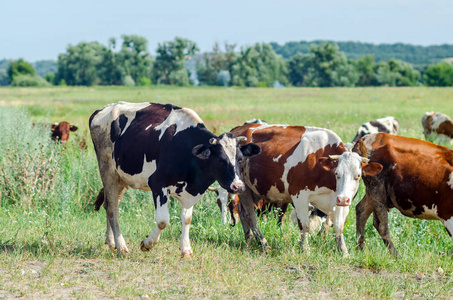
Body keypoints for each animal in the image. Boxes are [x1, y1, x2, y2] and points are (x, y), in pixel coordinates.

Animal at [88, 102, 260, 256]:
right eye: (220, 160)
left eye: (240, 159)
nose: (238, 186)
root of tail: (103, 109)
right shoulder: (157, 183)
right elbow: (163, 220)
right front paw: (147, 244)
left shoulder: (191, 191)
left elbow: (187, 218)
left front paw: (186, 249)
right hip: (107, 171)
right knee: (112, 208)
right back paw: (121, 246)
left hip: (121, 177)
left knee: (110, 203)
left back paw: (111, 243)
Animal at [230, 122, 382, 255]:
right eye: (337, 173)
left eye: (358, 175)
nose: (343, 199)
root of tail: (238, 129)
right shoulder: (300, 197)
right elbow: (305, 225)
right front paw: (305, 250)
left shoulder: (340, 201)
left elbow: (338, 227)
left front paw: (344, 252)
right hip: (243, 187)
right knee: (250, 215)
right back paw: (263, 243)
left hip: (254, 190)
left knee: (243, 213)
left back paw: (248, 239)